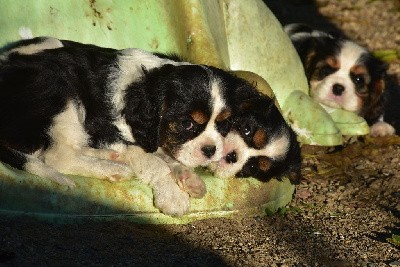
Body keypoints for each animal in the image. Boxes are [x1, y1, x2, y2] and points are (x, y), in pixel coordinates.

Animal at [0, 37, 300, 217]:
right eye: (187, 124)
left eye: (226, 124)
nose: (211, 151)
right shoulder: (107, 130)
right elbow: (154, 163)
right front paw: (173, 196)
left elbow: (168, 156)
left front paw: (188, 178)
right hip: (61, 98)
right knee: (56, 156)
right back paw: (113, 168)